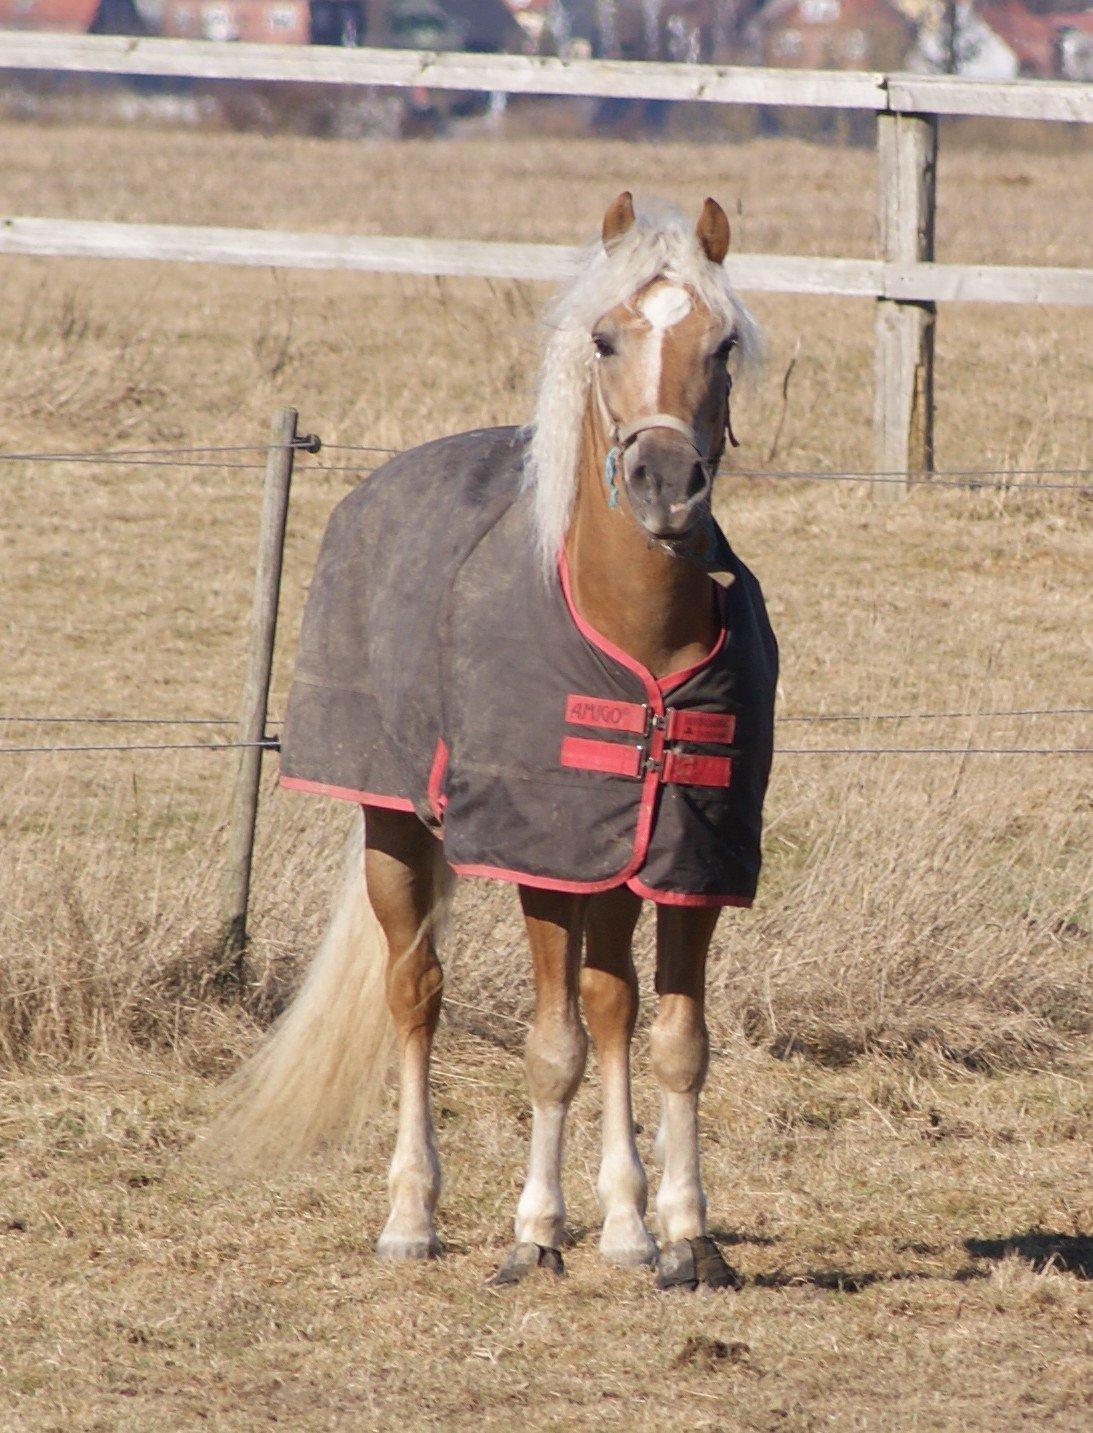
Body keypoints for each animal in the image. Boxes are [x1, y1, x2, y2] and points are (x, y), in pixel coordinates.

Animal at [221, 193, 777, 1291]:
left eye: (723, 342)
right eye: (605, 338)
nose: (664, 484)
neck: (639, 639)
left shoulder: (689, 864)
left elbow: (673, 1040)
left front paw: (682, 1235)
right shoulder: (540, 864)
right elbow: (550, 1048)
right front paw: (535, 1231)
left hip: (612, 864)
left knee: (611, 1005)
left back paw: (625, 1223)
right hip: (395, 830)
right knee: (415, 994)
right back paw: (411, 1215)